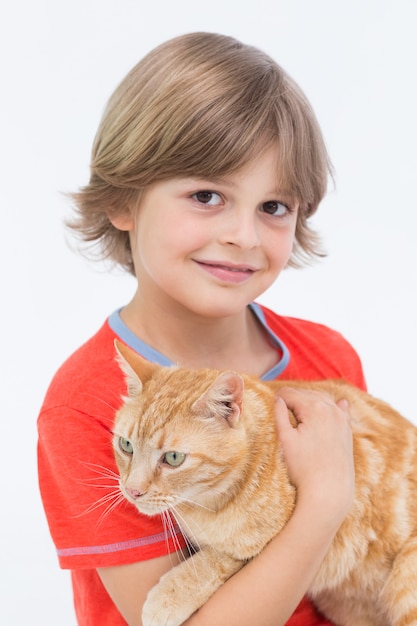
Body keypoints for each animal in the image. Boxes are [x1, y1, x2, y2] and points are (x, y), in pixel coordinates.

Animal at [113, 342, 416, 624]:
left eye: (173, 458)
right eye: (126, 445)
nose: (132, 491)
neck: (206, 504)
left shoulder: (282, 536)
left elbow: (219, 557)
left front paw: (169, 597)